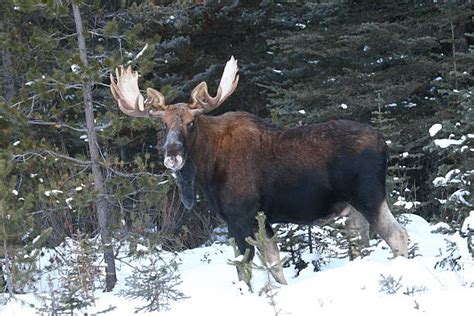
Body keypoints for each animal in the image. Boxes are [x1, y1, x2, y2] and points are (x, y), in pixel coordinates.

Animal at [110, 56, 408, 284]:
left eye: (191, 123)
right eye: (163, 125)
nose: (172, 154)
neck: (208, 170)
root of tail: (383, 143)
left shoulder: (241, 216)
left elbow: (246, 269)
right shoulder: (259, 220)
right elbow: (274, 265)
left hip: (368, 196)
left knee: (398, 236)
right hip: (355, 208)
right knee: (362, 244)